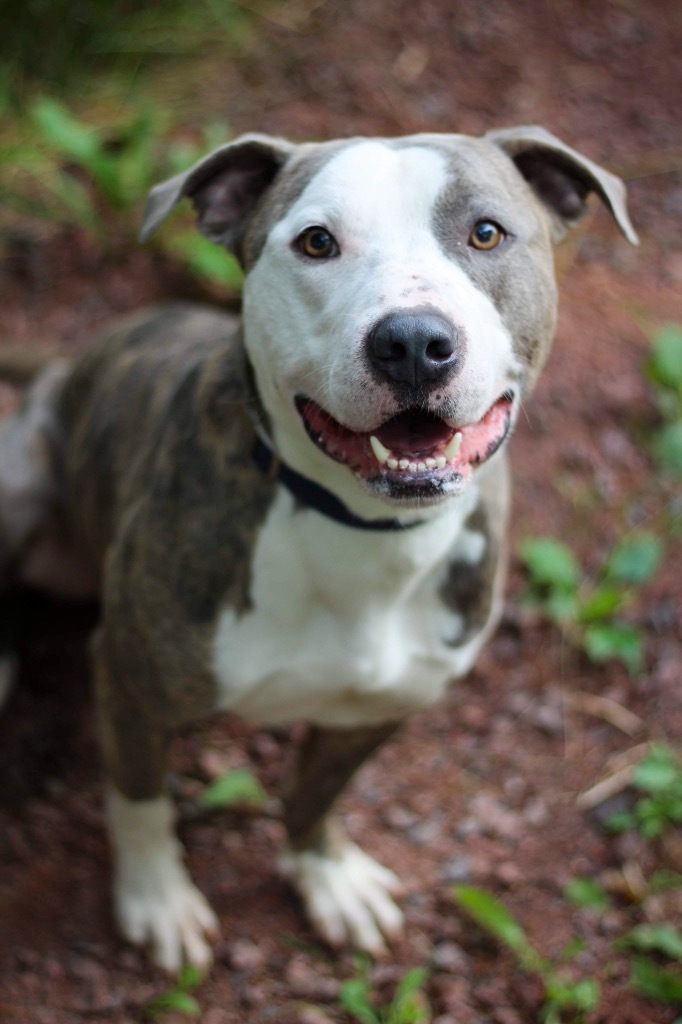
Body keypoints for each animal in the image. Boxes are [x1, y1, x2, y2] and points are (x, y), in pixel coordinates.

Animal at [0, 125, 634, 966]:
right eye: (316, 242)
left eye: (486, 233)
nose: (413, 341)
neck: (363, 533)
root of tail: (66, 365)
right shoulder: (130, 678)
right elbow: (140, 799)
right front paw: (158, 898)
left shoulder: (379, 710)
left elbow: (315, 795)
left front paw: (326, 875)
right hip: (21, 483)